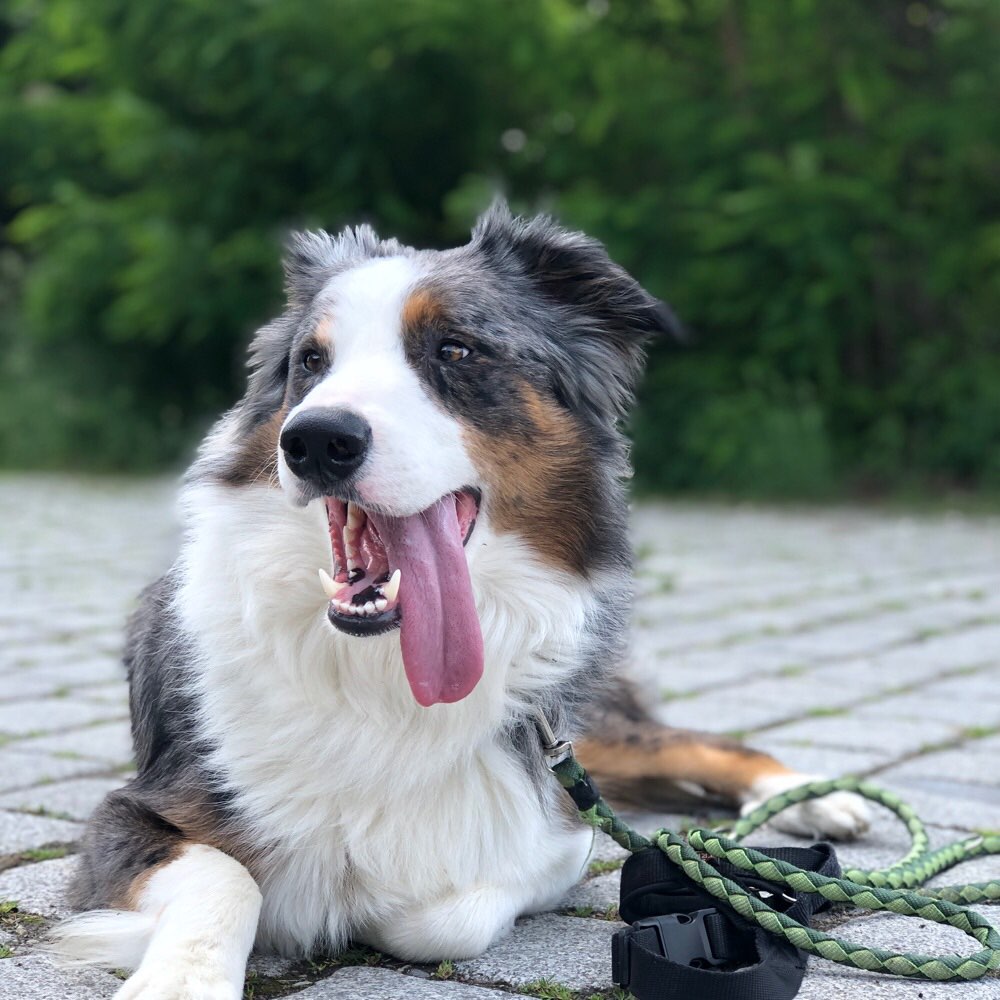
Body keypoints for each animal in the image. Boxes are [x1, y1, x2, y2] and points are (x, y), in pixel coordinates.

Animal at [54, 205, 868, 1000]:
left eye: (454, 350)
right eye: (311, 363)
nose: (314, 439)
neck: (380, 678)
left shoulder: (558, 830)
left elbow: (448, 914)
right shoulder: (132, 811)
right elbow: (228, 879)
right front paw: (178, 976)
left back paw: (810, 794)